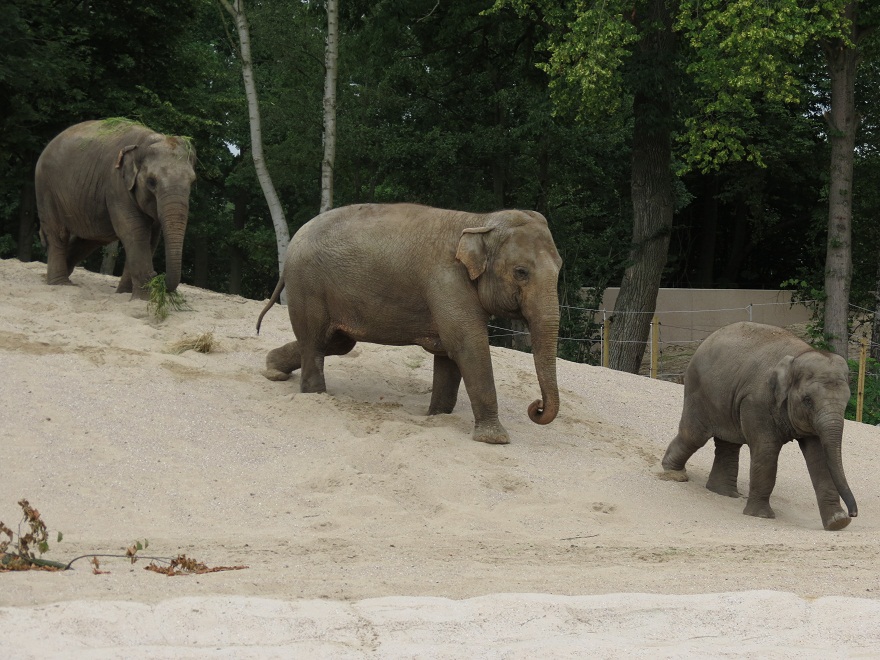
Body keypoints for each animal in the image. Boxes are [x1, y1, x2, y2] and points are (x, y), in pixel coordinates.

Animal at [34, 119, 196, 300]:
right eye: (151, 182)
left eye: (192, 182)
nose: (157, 275)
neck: (144, 141)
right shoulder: (116, 185)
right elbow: (135, 230)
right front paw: (144, 298)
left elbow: (152, 237)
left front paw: (124, 293)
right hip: (46, 188)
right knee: (58, 234)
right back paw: (60, 283)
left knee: (89, 239)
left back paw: (52, 278)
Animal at [256, 203, 563, 445]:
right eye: (521, 272)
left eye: (559, 268)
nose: (536, 406)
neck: (479, 221)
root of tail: (294, 241)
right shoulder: (447, 282)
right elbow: (467, 346)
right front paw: (495, 439)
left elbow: (448, 355)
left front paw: (437, 416)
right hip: (308, 285)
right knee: (316, 341)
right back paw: (316, 396)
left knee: (336, 342)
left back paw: (272, 369)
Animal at [661, 321, 857, 531]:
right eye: (807, 400)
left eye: (847, 401)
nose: (853, 513)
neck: (800, 354)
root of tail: (706, 340)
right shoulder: (756, 402)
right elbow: (767, 449)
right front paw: (761, 516)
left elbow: (818, 456)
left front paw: (838, 522)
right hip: (698, 391)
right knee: (694, 435)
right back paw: (674, 473)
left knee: (728, 443)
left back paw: (723, 493)